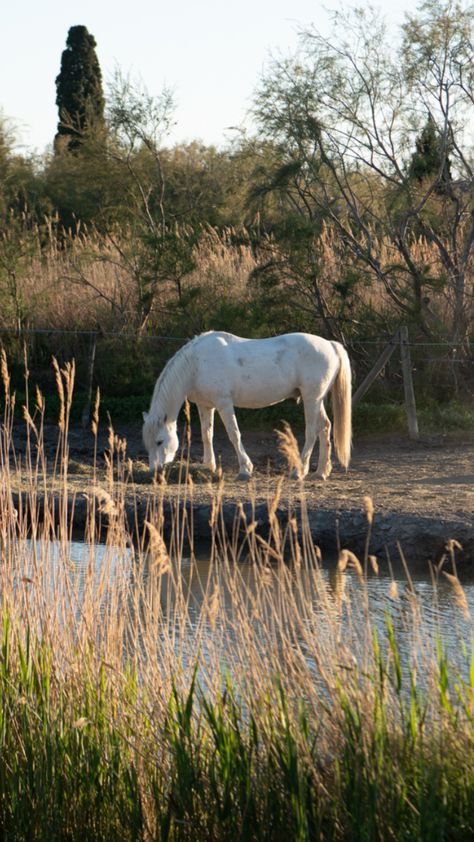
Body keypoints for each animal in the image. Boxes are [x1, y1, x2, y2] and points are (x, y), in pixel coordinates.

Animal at [142, 330, 352, 480]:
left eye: (159, 441)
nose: (154, 471)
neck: (196, 364)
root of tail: (330, 345)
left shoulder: (224, 403)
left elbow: (234, 434)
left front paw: (245, 469)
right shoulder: (205, 406)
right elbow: (206, 434)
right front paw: (209, 467)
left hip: (311, 398)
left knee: (312, 432)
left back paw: (299, 472)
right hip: (317, 399)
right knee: (325, 427)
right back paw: (321, 472)